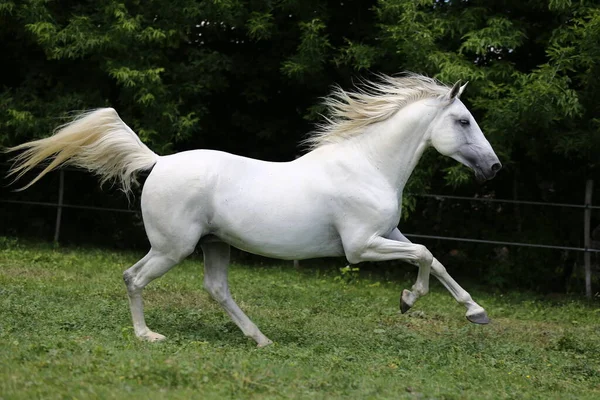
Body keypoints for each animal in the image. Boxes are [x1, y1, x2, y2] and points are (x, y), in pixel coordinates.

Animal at [8, 74, 502, 346]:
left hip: (213, 244)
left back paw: (261, 339)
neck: (367, 165)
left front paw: (475, 312)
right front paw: (407, 301)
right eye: (463, 121)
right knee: (133, 277)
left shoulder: (388, 234)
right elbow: (424, 255)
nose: (494, 167)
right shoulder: (360, 247)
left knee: (217, 289)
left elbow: (434, 259)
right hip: (172, 247)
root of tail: (159, 161)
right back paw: (147, 336)